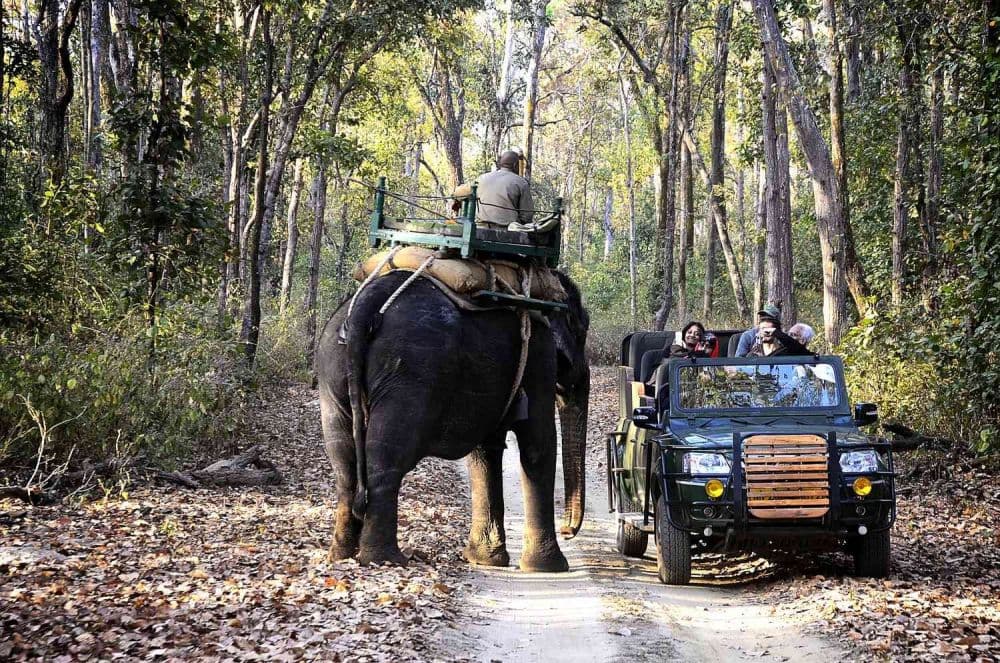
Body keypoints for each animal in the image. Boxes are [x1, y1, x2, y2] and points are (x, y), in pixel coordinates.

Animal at [315, 269, 589, 572]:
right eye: (582, 331)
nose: (568, 530)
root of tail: (366, 303)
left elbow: (486, 450)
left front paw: (484, 560)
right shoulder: (540, 353)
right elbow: (539, 443)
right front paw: (549, 567)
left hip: (332, 370)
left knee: (344, 462)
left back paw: (341, 554)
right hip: (410, 373)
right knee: (385, 458)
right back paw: (385, 560)